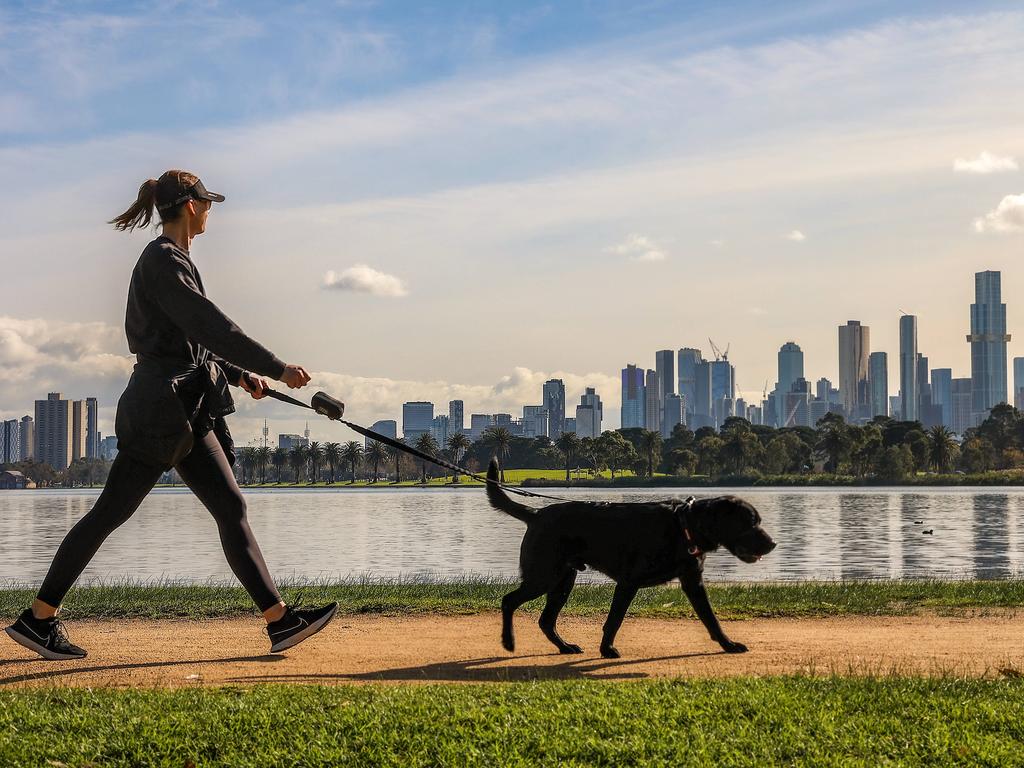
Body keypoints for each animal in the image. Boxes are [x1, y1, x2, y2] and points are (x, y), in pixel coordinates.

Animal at [483, 460, 770, 659]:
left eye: (758, 521)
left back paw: (564, 647)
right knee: (509, 601)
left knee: (545, 620)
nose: (772, 544)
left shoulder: (693, 584)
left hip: (563, 580)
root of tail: (536, 513)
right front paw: (607, 649)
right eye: (749, 523)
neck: (683, 525)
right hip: (544, 576)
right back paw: (508, 641)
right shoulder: (628, 583)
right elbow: (614, 620)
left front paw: (727, 644)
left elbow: (711, 619)